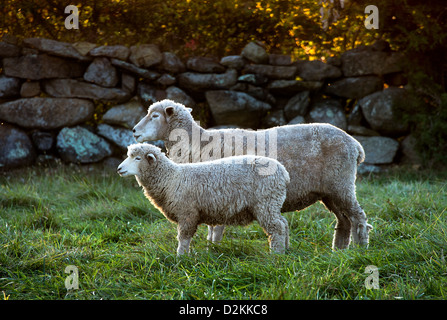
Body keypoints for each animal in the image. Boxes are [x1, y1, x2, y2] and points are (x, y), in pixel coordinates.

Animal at [117, 143, 290, 255]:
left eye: (138, 158)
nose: (119, 169)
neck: (171, 178)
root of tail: (283, 171)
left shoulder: (187, 213)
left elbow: (183, 237)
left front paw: (181, 257)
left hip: (266, 202)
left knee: (277, 227)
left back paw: (276, 254)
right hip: (272, 203)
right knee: (284, 223)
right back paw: (286, 249)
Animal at [133, 99, 374, 250]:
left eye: (155, 116)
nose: (134, 131)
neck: (196, 142)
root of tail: (355, 144)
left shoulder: (214, 190)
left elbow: (215, 226)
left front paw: (213, 247)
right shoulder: (209, 193)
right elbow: (212, 225)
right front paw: (211, 245)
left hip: (341, 184)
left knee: (358, 217)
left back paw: (360, 250)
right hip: (330, 191)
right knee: (344, 220)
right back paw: (339, 250)